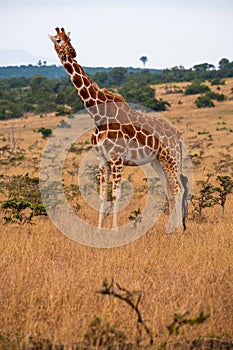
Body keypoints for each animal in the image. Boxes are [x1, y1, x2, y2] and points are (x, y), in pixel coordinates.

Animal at [49, 27, 189, 232]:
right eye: (59, 40)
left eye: (70, 39)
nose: (72, 52)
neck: (98, 115)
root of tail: (177, 136)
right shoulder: (103, 159)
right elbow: (102, 194)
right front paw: (99, 230)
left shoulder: (117, 158)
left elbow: (116, 193)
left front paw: (114, 230)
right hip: (157, 161)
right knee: (169, 190)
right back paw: (170, 229)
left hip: (171, 157)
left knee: (179, 188)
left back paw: (179, 230)